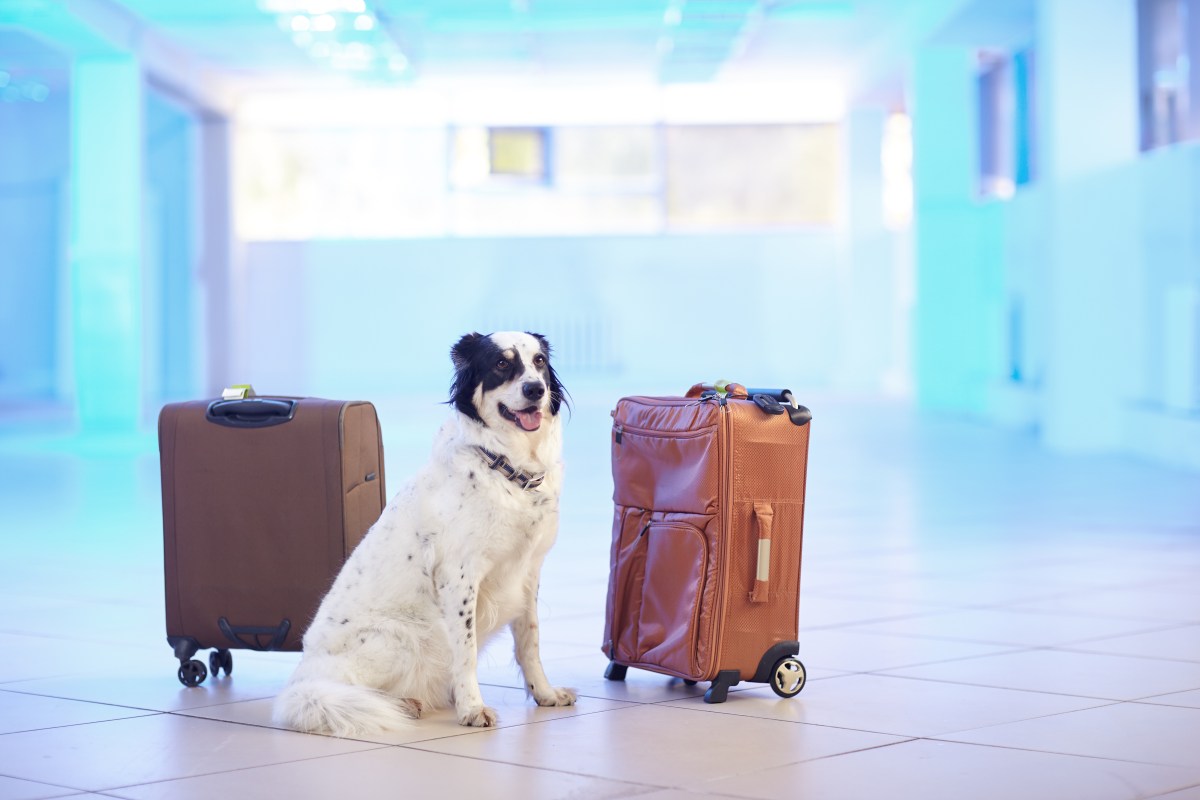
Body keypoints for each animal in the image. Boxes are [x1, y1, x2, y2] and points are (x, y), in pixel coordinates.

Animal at [274, 333, 573, 738]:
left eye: (539, 361)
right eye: (501, 364)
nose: (535, 390)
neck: (505, 467)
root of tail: (301, 681)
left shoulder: (528, 573)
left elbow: (530, 641)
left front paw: (544, 693)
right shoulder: (459, 578)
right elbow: (465, 653)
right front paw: (472, 708)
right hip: (400, 638)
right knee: (348, 691)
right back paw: (400, 704)